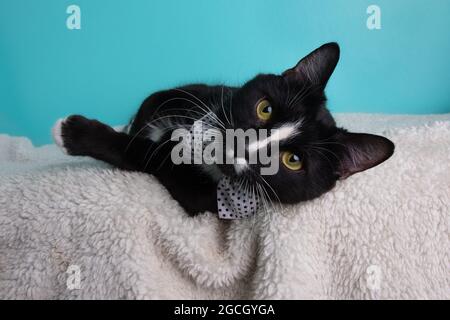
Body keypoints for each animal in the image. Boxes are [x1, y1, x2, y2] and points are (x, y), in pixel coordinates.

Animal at [51, 43, 394, 218]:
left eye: (292, 161)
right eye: (265, 108)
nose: (239, 148)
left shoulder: (202, 198)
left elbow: (147, 154)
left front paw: (73, 132)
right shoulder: (201, 95)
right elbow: (153, 103)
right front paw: (138, 124)